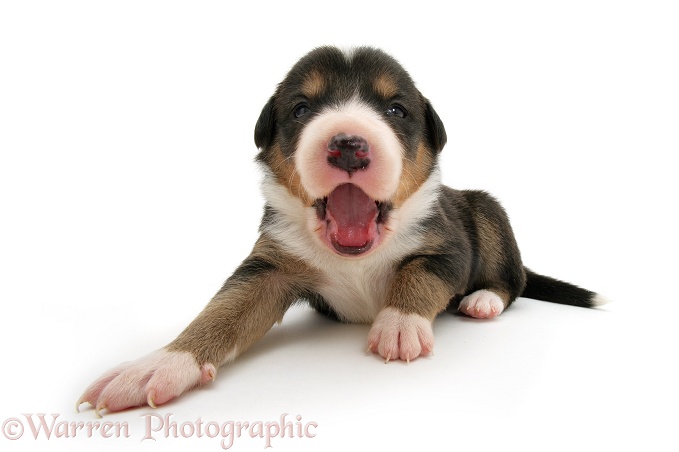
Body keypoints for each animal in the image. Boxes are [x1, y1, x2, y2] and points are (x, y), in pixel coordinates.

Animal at [77, 46, 608, 416]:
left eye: (395, 110)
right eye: (300, 109)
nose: (349, 145)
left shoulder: (447, 245)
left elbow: (419, 274)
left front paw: (399, 323)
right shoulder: (269, 265)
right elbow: (222, 311)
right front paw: (158, 366)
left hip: (487, 213)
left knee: (512, 281)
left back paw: (483, 301)